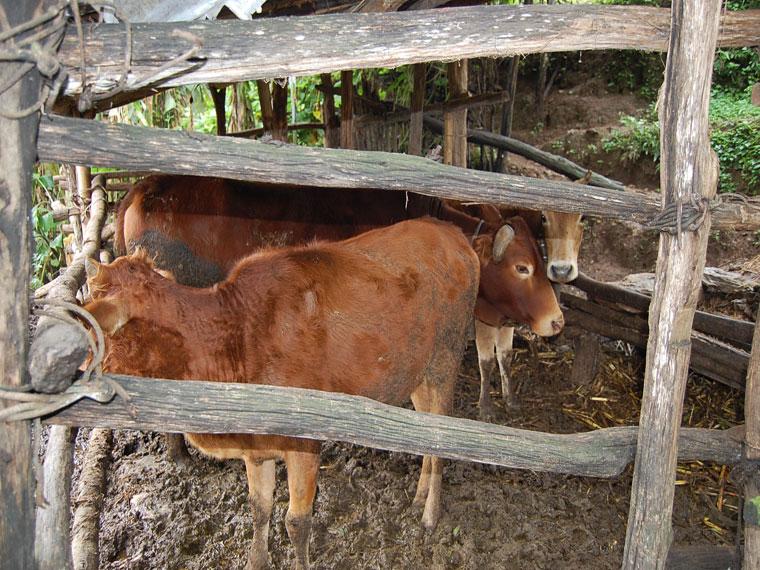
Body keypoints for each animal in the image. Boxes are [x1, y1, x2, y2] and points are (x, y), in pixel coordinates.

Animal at [86, 217, 478, 568]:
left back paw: (430, 515)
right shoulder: (256, 447)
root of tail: (452, 233)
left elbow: (296, 522)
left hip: (446, 361)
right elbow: (259, 508)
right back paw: (419, 498)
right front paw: (255, 561)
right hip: (416, 374)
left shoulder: (305, 442)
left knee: (445, 438)